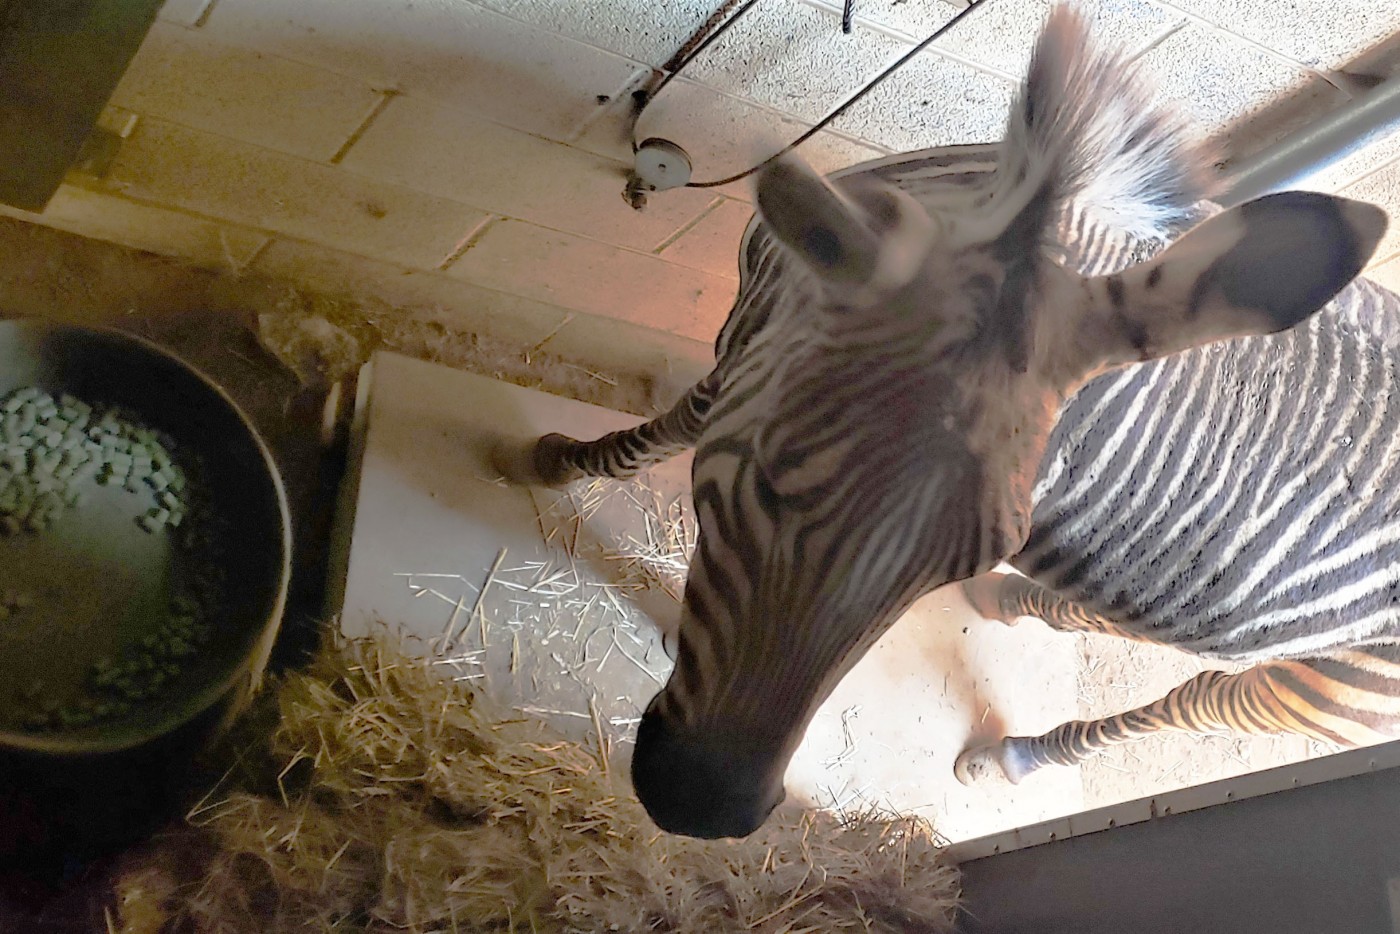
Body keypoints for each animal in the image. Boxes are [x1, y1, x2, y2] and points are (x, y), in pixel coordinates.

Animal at [495, 5, 1388, 840]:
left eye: (967, 554)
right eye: (766, 481)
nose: (703, 809)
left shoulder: (744, 360)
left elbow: (670, 426)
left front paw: (559, 462)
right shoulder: (752, 342)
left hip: (1338, 688)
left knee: (1201, 700)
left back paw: (1011, 757)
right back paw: (1011, 605)